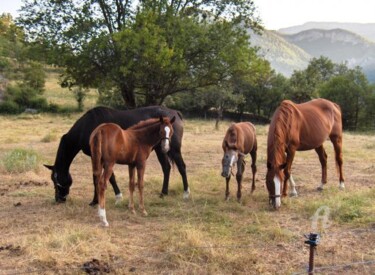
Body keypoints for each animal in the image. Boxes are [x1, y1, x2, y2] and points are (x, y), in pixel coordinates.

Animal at [44, 105, 191, 205]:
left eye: (55, 179)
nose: (58, 199)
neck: (88, 127)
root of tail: (175, 113)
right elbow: (101, 177)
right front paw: (100, 199)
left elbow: (105, 177)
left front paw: (110, 198)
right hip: (161, 149)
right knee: (166, 168)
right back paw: (163, 193)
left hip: (174, 149)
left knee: (182, 167)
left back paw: (186, 193)